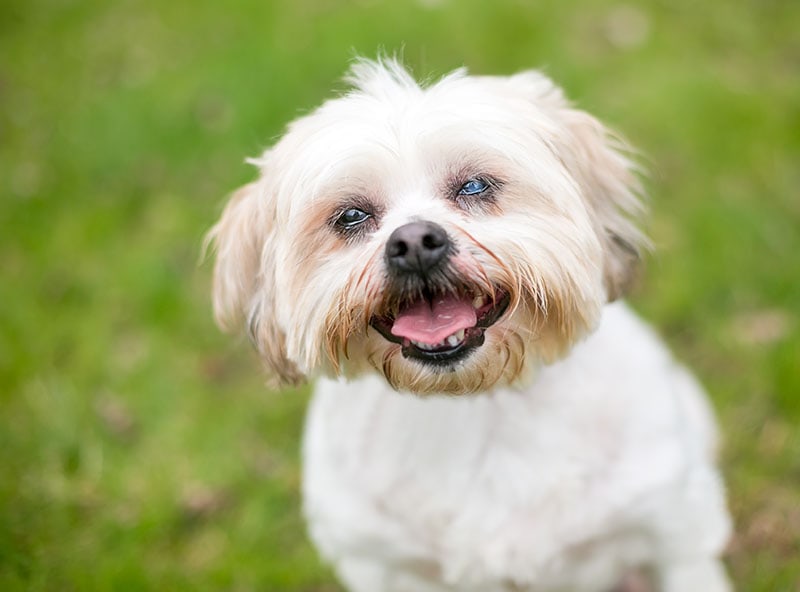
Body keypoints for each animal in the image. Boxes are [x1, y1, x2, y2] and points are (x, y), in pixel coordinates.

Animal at [209, 60, 736, 592]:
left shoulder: (675, 528)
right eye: (352, 215)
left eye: (475, 186)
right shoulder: (378, 561)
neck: (477, 402)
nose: (414, 243)